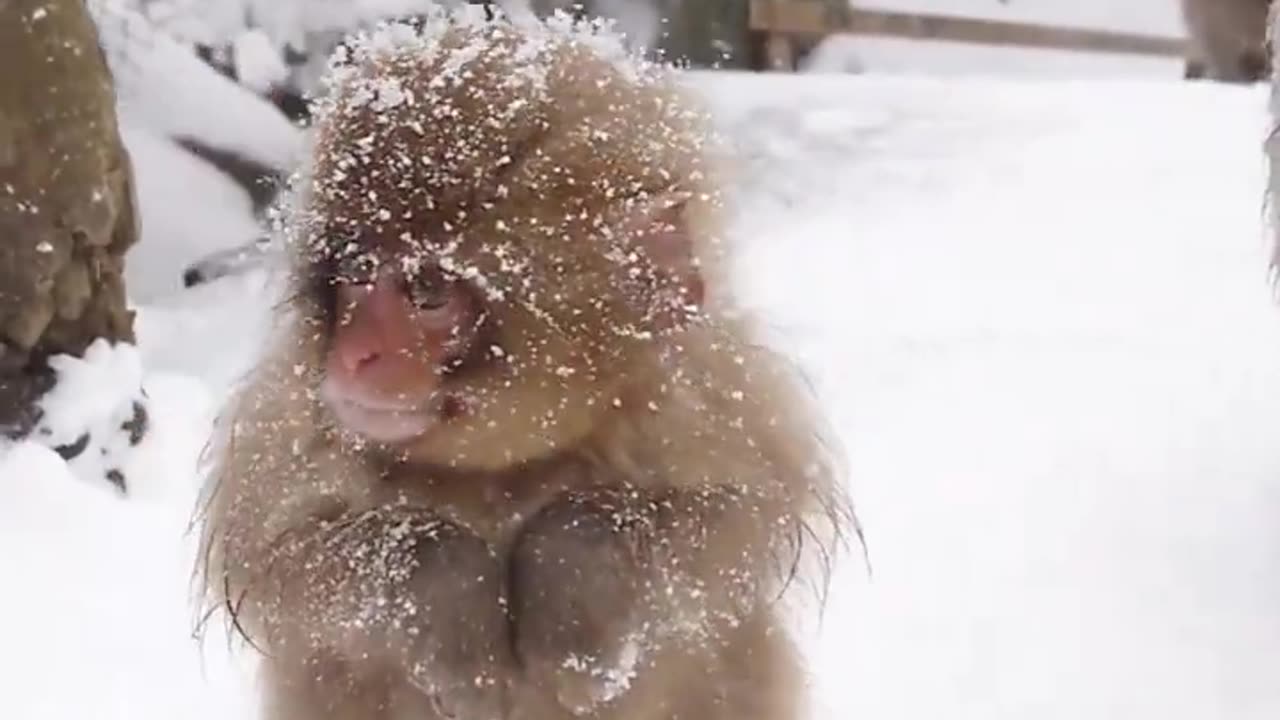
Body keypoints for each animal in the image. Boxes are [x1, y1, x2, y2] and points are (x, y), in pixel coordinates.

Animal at [197, 7, 849, 717]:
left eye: (429, 292)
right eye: (358, 276)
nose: (355, 355)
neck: (502, 471)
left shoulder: (710, 395)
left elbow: (741, 523)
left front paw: (575, 576)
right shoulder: (292, 421)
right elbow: (280, 559)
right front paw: (448, 593)